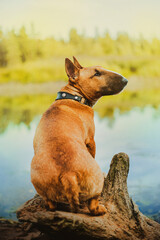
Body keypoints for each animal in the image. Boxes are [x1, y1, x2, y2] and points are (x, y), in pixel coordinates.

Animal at [31, 57, 127, 217]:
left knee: (51, 204)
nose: (125, 80)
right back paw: (100, 209)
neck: (74, 96)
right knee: (92, 205)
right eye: (96, 73)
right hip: (95, 184)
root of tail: (68, 174)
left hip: (42, 187)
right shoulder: (91, 140)